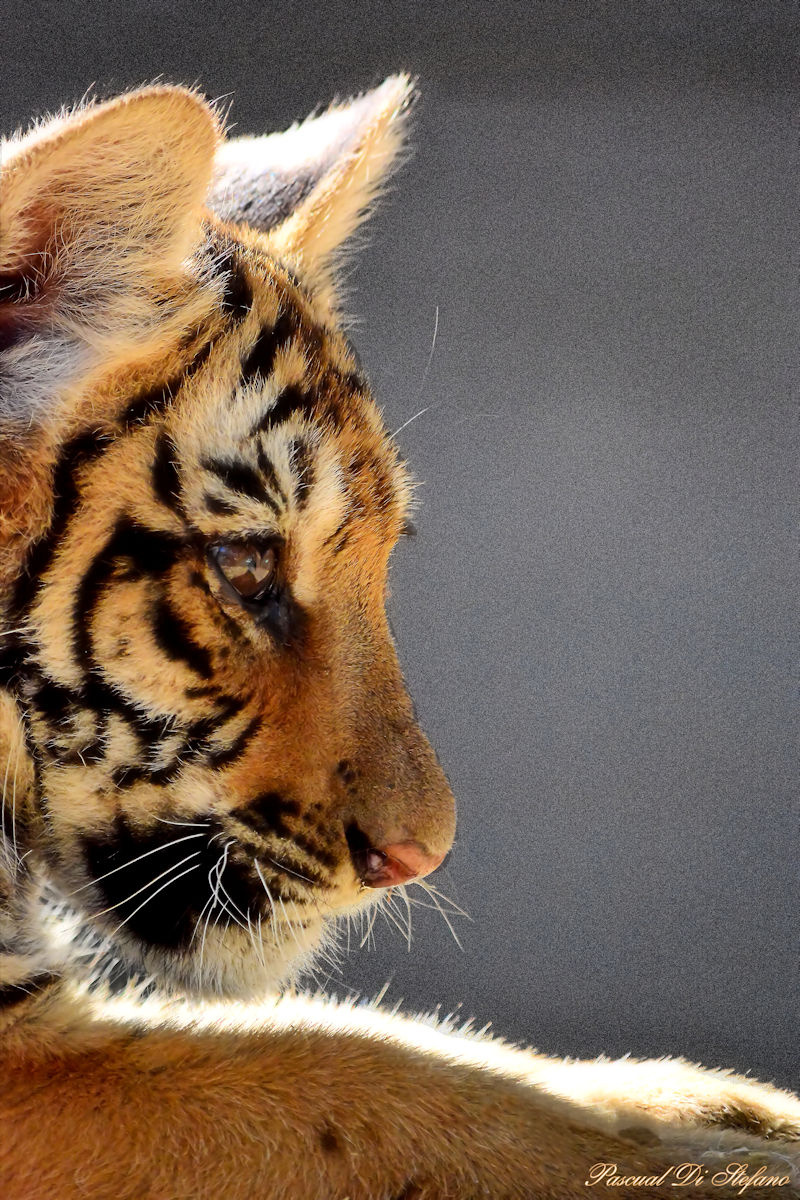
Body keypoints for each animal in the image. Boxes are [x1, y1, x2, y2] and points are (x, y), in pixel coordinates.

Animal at [0, 76, 798, 1200]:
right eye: (246, 567)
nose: (419, 857)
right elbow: (352, 1081)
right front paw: (728, 1159)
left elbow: (430, 1053)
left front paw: (724, 1111)